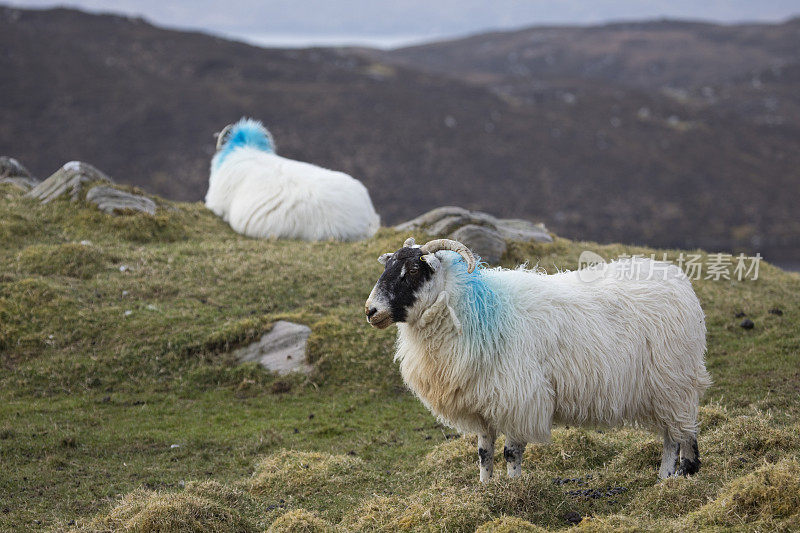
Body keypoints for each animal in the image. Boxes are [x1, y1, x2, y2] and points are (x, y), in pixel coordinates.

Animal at [366, 237, 708, 482]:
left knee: (677, 435)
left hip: (671, 381)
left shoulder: (520, 397)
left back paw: (671, 476)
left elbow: (511, 453)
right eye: (387, 267)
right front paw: (485, 489)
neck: (476, 309)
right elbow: (484, 452)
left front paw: (514, 488)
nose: (371, 311)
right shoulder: (482, 400)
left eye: (413, 270)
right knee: (676, 432)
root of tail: (677, 279)